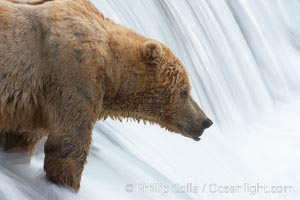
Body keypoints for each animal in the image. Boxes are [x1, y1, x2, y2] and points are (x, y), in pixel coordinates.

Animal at [0, 0, 212, 191]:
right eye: (184, 91)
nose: (206, 121)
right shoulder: (73, 77)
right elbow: (69, 143)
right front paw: (67, 183)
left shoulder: (33, 106)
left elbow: (21, 139)